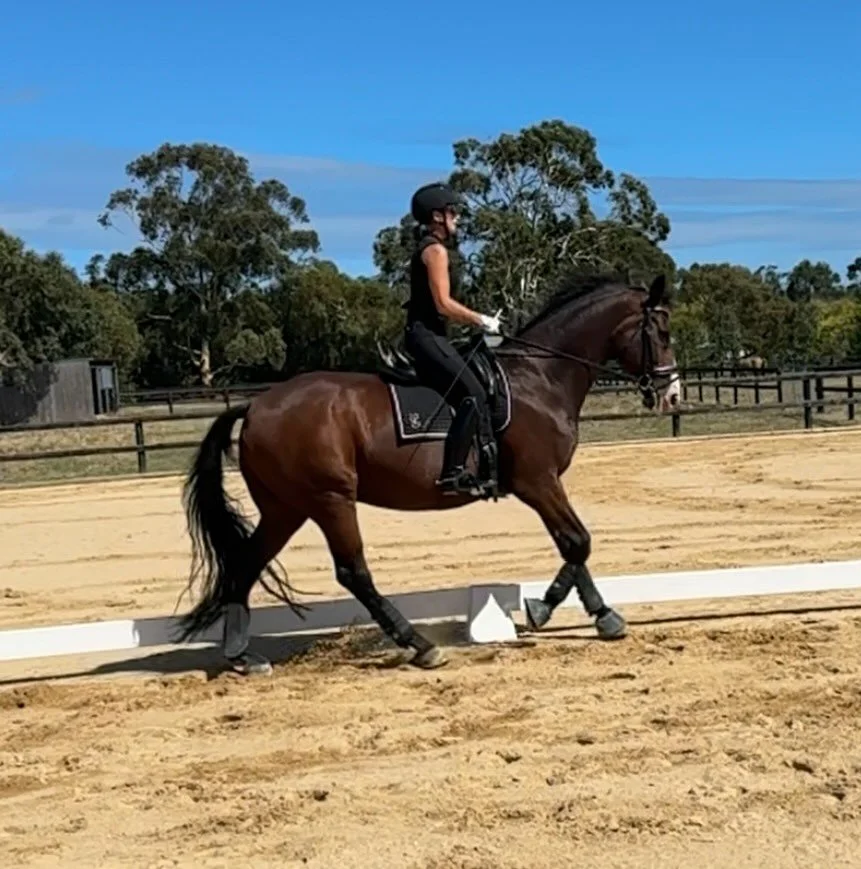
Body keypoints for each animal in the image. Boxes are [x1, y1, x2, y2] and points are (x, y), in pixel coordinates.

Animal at [177, 273, 680, 675]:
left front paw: (597, 614)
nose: (672, 393)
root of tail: (256, 406)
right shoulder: (537, 482)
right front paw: (548, 609)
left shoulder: (542, 484)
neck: (539, 379)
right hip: (329, 500)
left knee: (246, 564)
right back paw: (419, 647)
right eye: (662, 330)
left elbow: (573, 545)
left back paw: (242, 656)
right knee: (354, 572)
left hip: (286, 508)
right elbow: (578, 542)